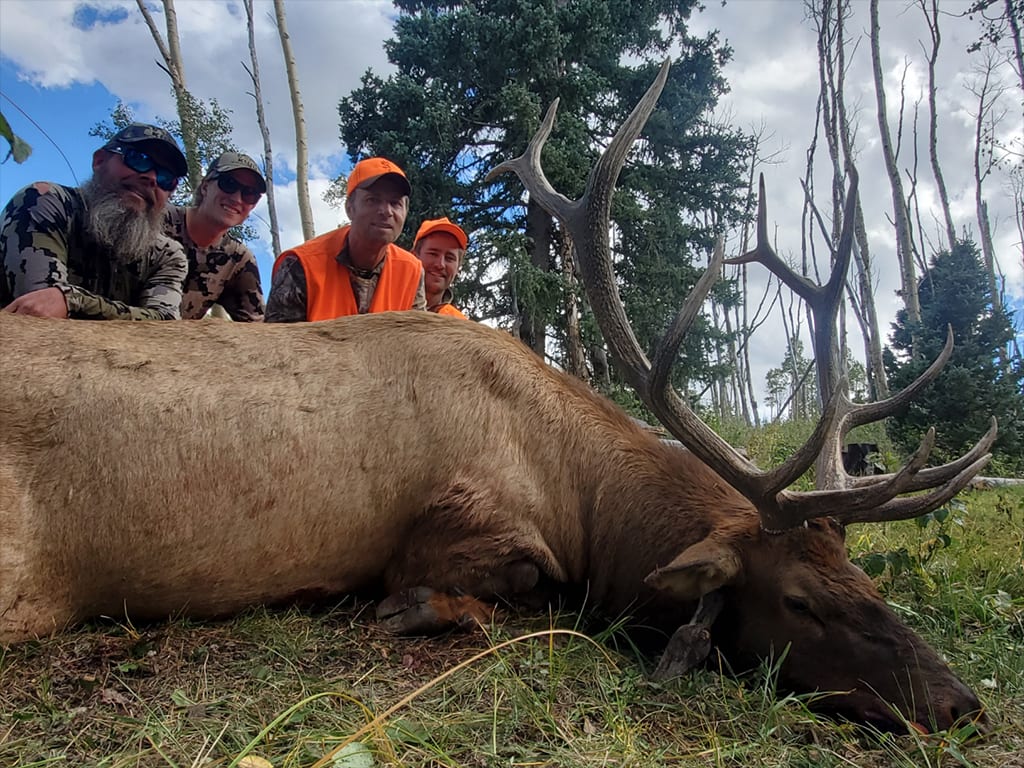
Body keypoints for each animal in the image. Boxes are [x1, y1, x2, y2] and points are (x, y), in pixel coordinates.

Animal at [0, 64, 994, 735]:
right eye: (799, 600)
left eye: (864, 580)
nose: (960, 702)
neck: (581, 496)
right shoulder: (455, 531)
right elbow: (510, 591)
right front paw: (411, 611)